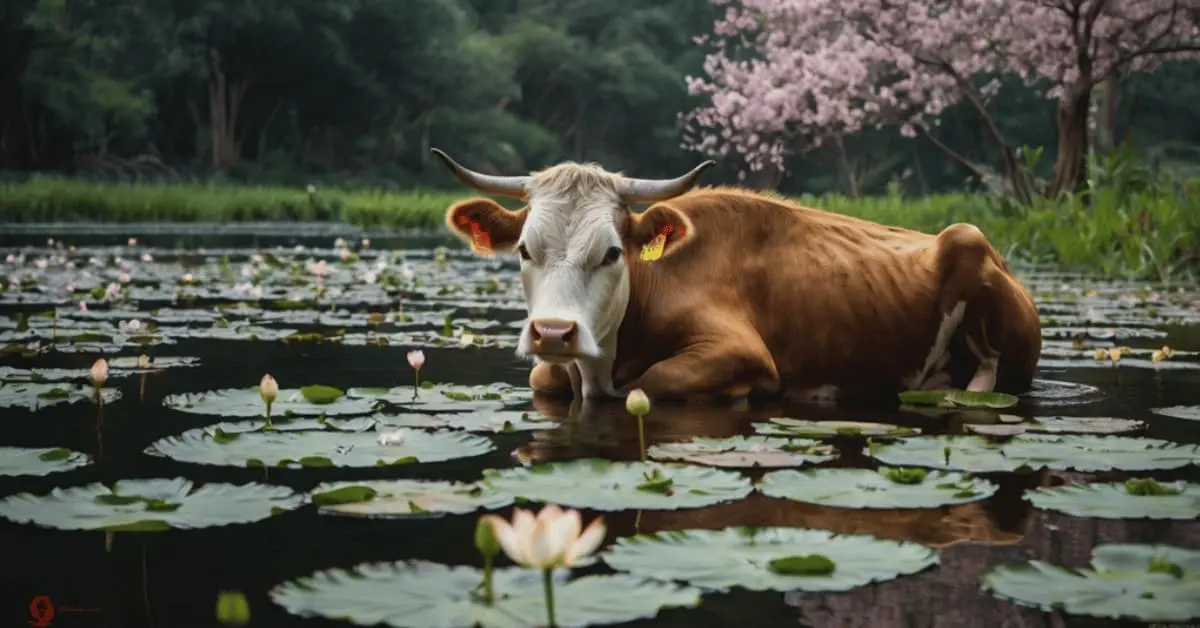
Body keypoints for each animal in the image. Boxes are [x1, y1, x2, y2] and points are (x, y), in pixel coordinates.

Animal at [431, 147, 1042, 403]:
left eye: (611, 253)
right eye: (524, 251)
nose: (554, 332)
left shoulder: (741, 352)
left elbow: (650, 383)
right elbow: (544, 378)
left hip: (968, 243)